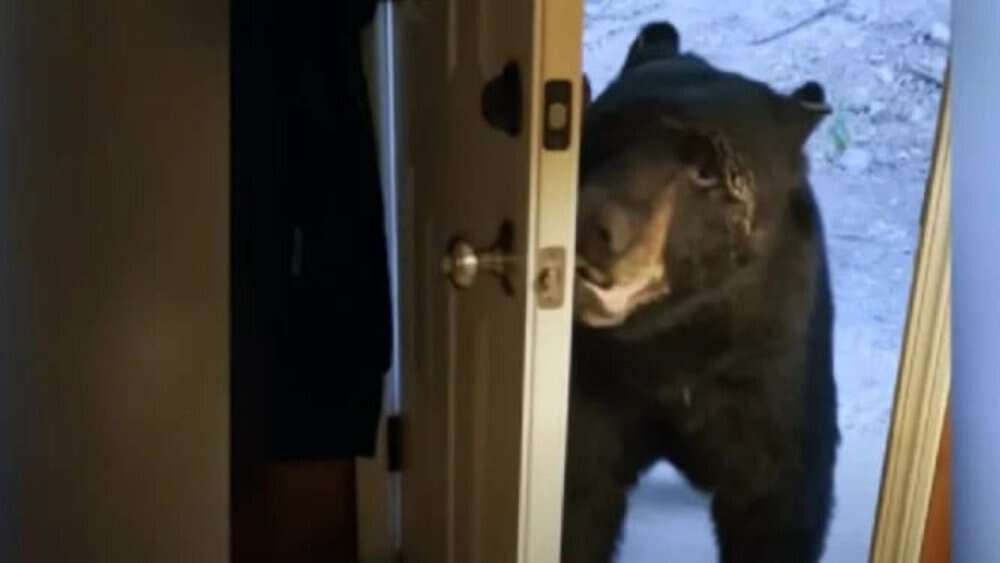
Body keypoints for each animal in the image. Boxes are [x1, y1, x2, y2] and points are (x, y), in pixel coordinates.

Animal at [563, 21, 840, 563]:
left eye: (710, 171)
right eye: (605, 127)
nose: (592, 225)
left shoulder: (771, 376)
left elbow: (777, 504)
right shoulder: (594, 385)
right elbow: (582, 495)